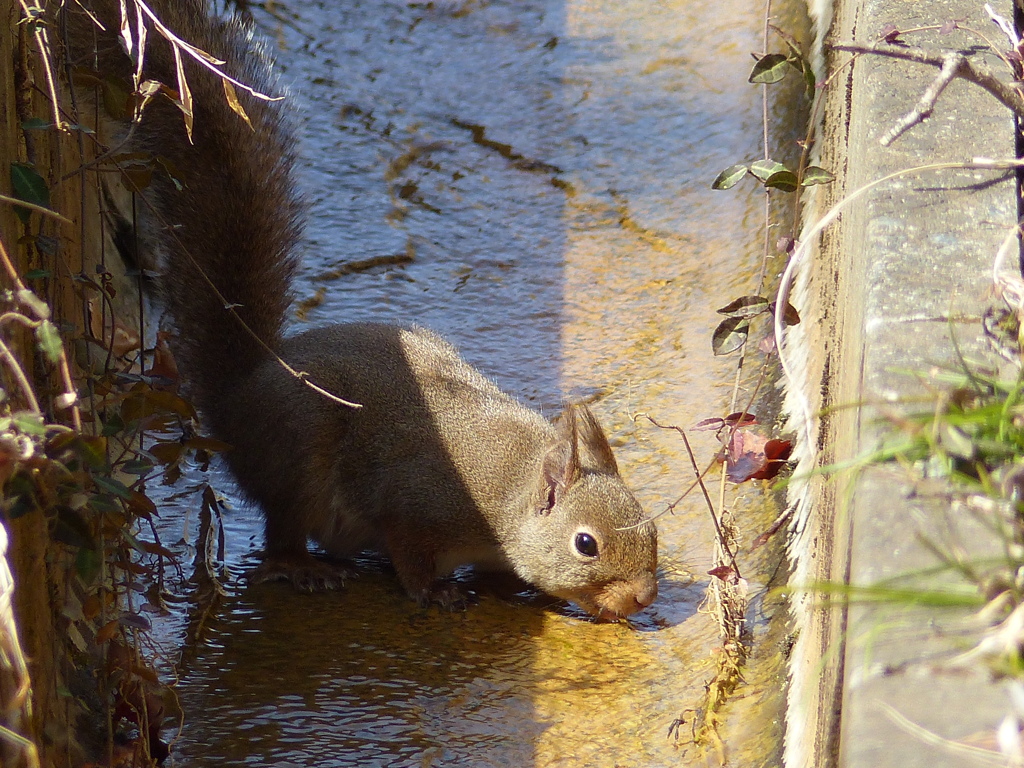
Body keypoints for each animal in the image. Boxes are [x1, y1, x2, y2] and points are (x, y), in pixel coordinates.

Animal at [68, 0, 659, 618]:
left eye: (650, 527)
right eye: (586, 543)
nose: (644, 596)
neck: (508, 488)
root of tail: (236, 395)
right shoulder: (414, 506)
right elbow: (410, 556)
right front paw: (437, 591)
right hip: (299, 457)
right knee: (280, 534)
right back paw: (302, 567)